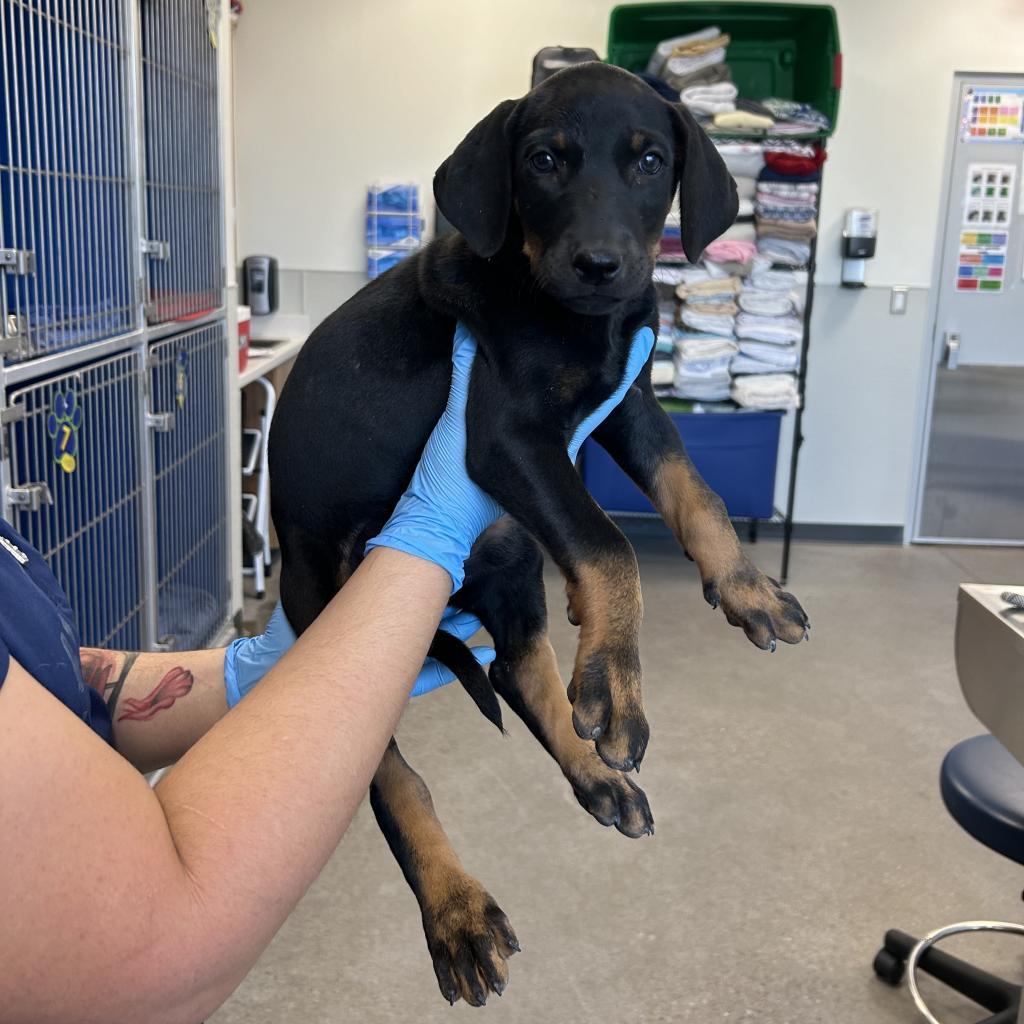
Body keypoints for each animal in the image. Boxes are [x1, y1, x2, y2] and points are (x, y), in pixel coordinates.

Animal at [270, 66, 806, 1007]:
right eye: (545, 161)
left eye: (651, 161)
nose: (600, 265)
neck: (573, 317)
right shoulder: (508, 435)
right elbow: (609, 544)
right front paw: (622, 683)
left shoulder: (627, 402)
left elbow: (693, 491)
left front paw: (746, 587)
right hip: (321, 595)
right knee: (392, 773)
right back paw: (456, 909)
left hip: (513, 552)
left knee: (519, 669)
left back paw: (593, 765)